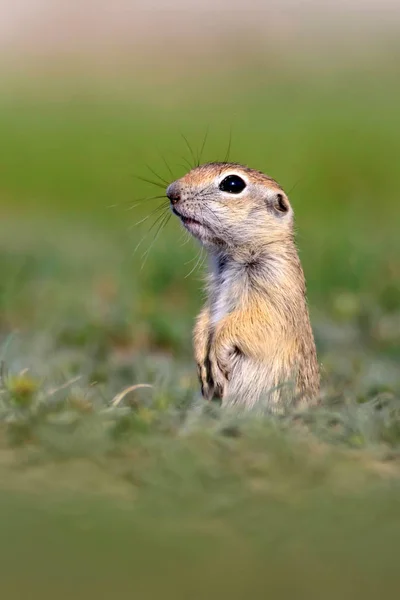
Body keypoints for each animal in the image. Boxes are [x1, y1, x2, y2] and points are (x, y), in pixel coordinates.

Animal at [166, 162, 318, 410]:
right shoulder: (214, 291)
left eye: (233, 184)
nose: (171, 192)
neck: (232, 256)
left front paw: (217, 356)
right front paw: (201, 361)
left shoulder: (275, 285)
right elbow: (204, 318)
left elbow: (254, 322)